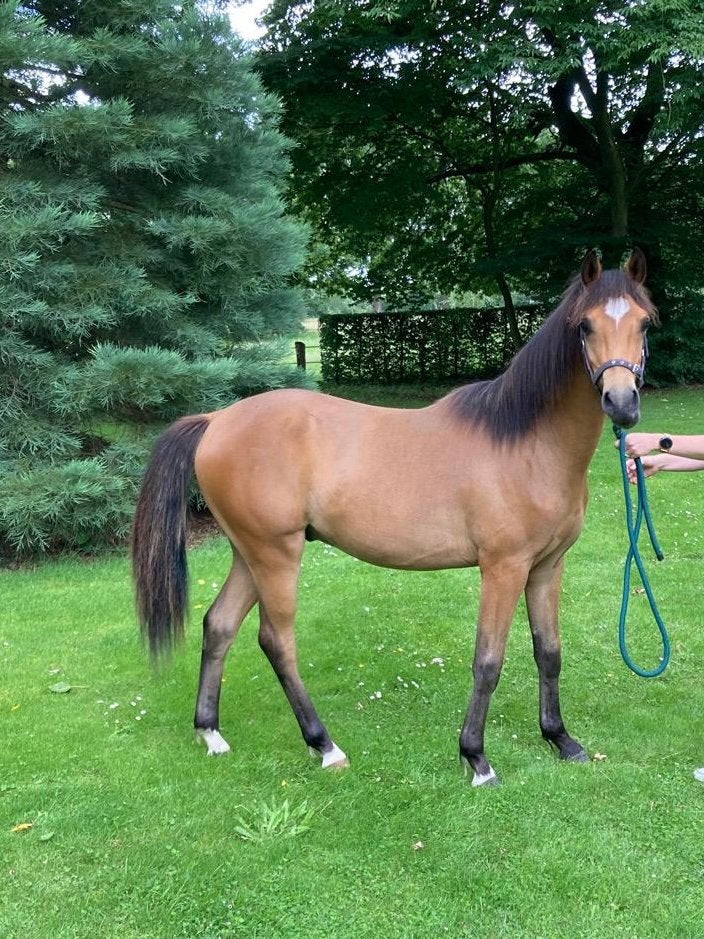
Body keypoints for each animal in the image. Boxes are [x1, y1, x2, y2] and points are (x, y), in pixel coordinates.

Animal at [132, 249, 656, 786]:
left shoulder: (547, 567)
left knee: (219, 626)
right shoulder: (503, 568)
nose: (621, 403)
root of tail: (216, 420)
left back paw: (211, 734)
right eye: (585, 326)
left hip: (248, 554)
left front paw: (560, 739)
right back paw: (325, 746)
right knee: (277, 641)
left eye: (644, 322)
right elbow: (488, 661)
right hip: (275, 554)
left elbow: (548, 652)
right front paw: (476, 758)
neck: (526, 442)